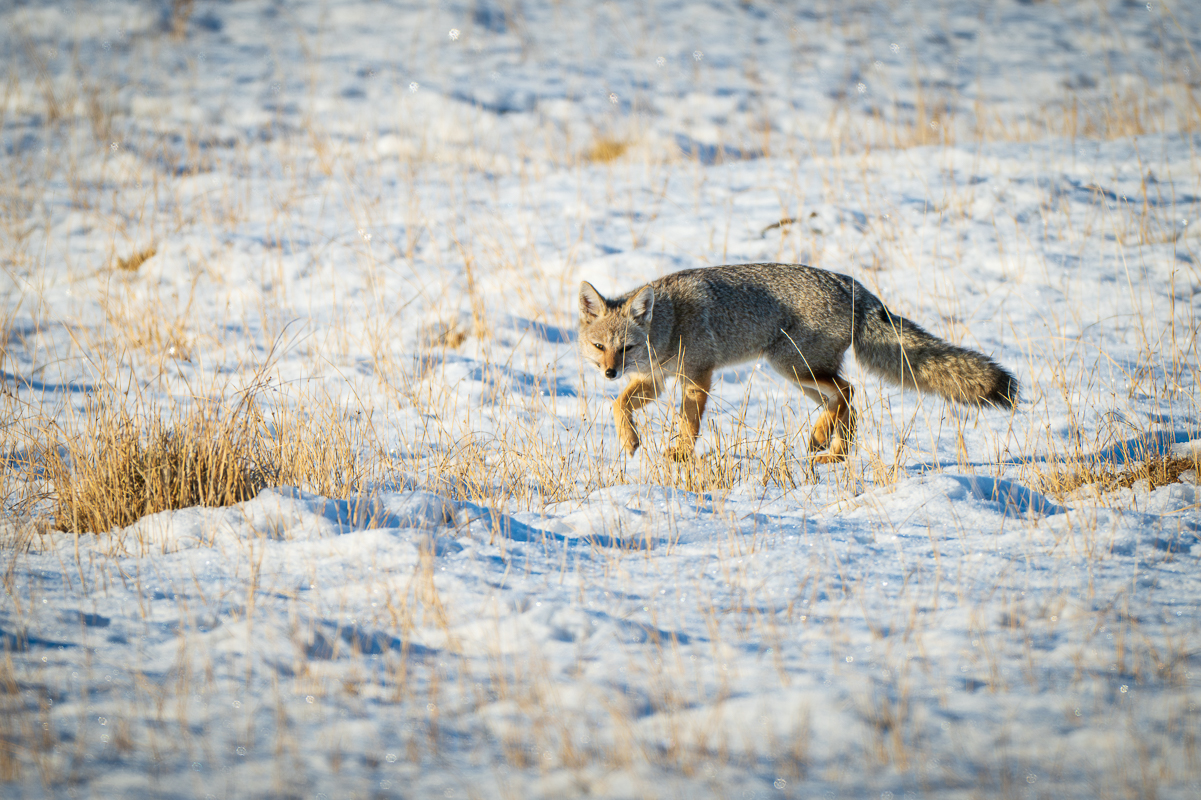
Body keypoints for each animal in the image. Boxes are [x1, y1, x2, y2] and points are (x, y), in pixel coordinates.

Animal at [578, 262, 1018, 462]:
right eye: (600, 347)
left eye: (626, 347)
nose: (610, 372)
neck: (669, 324)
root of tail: (853, 285)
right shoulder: (657, 380)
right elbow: (618, 404)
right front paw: (630, 441)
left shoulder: (698, 376)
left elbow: (689, 423)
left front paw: (680, 454)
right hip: (799, 377)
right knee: (847, 401)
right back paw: (833, 450)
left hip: (793, 367)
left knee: (847, 391)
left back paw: (824, 441)